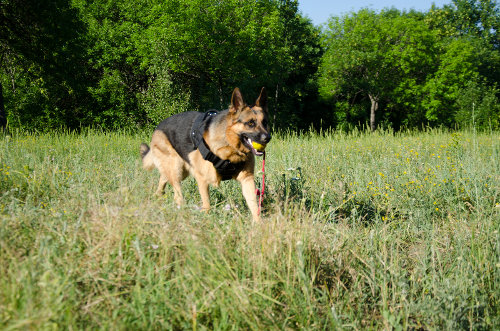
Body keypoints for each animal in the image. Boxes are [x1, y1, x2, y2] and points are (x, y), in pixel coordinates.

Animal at [141, 87, 272, 223]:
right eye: (250, 123)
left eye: (265, 122)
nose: (267, 138)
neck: (230, 146)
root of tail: (158, 127)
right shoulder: (202, 179)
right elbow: (207, 205)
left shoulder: (247, 179)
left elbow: (254, 206)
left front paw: (258, 224)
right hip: (176, 169)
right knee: (177, 194)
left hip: (180, 171)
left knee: (163, 180)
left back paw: (158, 197)